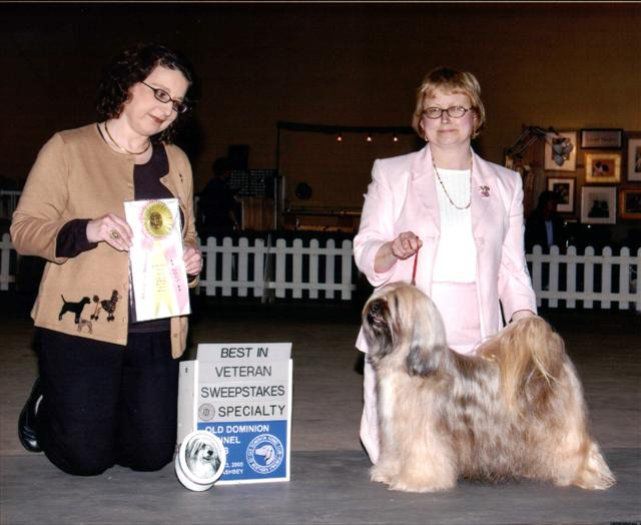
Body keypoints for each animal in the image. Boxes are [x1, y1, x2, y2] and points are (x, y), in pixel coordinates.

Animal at [360, 282, 616, 492]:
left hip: (562, 424)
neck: (407, 364)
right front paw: (388, 473)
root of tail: (551, 358)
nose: (374, 307)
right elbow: (395, 454)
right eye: (378, 296)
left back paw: (587, 475)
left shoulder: (423, 433)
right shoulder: (394, 431)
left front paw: (416, 481)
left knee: (580, 447)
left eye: (394, 302)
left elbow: (423, 456)